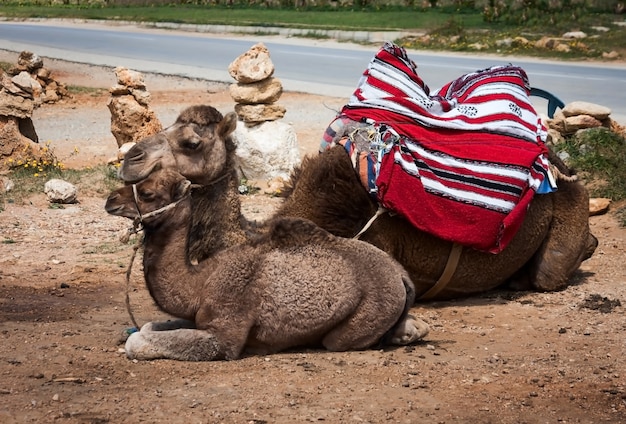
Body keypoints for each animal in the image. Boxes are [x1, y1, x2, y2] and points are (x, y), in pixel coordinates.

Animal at [105, 166, 426, 362]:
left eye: (148, 193)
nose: (110, 199)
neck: (200, 282)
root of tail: (400, 275)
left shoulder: (225, 333)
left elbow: (138, 341)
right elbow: (149, 326)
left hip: (362, 317)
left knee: (338, 340)